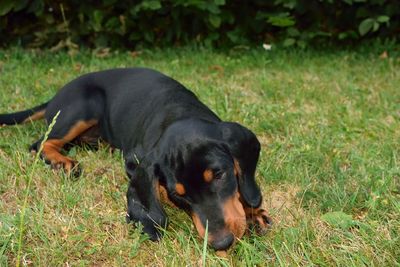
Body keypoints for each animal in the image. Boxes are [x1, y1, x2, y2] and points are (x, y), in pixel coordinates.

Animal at [0, 68, 272, 252]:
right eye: (178, 195)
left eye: (219, 175)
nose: (222, 243)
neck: (178, 112)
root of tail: (57, 94)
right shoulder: (135, 160)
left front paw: (253, 212)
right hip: (84, 107)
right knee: (39, 144)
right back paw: (62, 162)